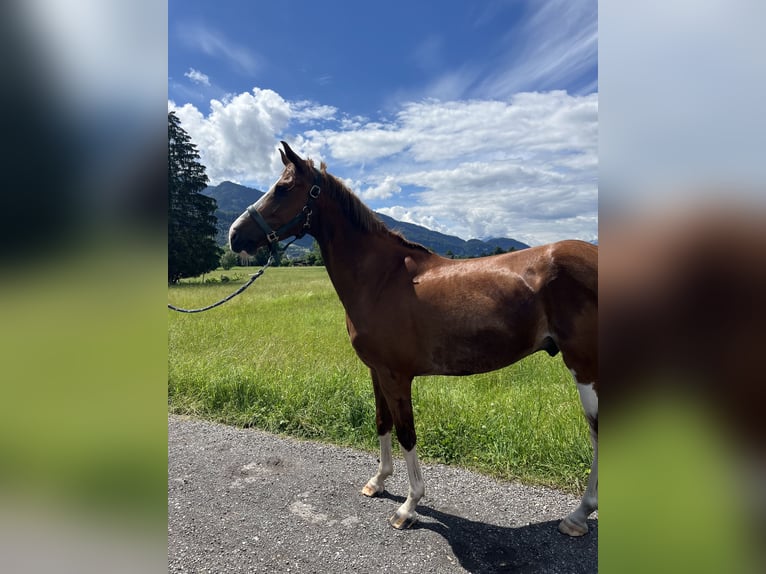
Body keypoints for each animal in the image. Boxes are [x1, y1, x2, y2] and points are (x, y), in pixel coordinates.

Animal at [228, 142, 600, 536]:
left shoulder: (396, 375)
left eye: (283, 188)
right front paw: (378, 482)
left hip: (585, 368)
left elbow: (407, 433)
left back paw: (578, 515)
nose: (235, 235)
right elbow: (382, 422)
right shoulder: (377, 371)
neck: (381, 277)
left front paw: (409, 506)